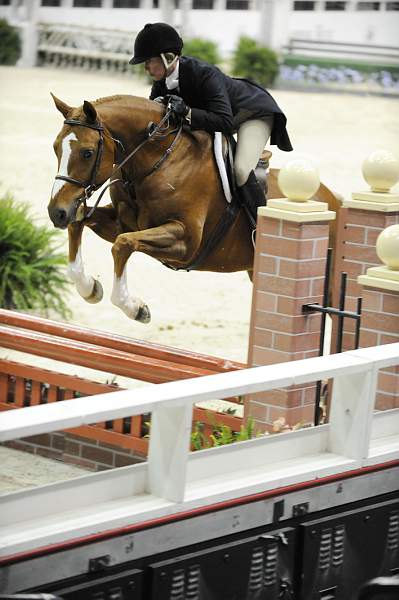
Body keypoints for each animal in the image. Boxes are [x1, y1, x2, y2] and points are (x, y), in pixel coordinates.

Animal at [47, 94, 340, 324]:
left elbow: (123, 245)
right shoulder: (122, 222)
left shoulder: (186, 241)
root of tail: (333, 201)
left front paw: (135, 309)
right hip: (255, 271)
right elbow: (83, 224)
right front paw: (89, 289)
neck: (159, 161)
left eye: (87, 152)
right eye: (55, 148)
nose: (56, 212)